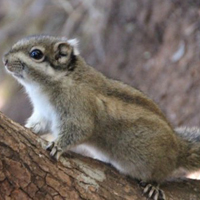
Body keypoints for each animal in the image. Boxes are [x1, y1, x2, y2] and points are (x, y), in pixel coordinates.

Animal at [2, 34, 200, 200]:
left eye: (36, 54)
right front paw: (28, 128)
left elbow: (79, 130)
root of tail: (179, 148)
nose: (4, 60)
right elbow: (39, 125)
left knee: (162, 175)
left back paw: (153, 185)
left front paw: (57, 146)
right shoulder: (44, 114)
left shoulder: (77, 110)